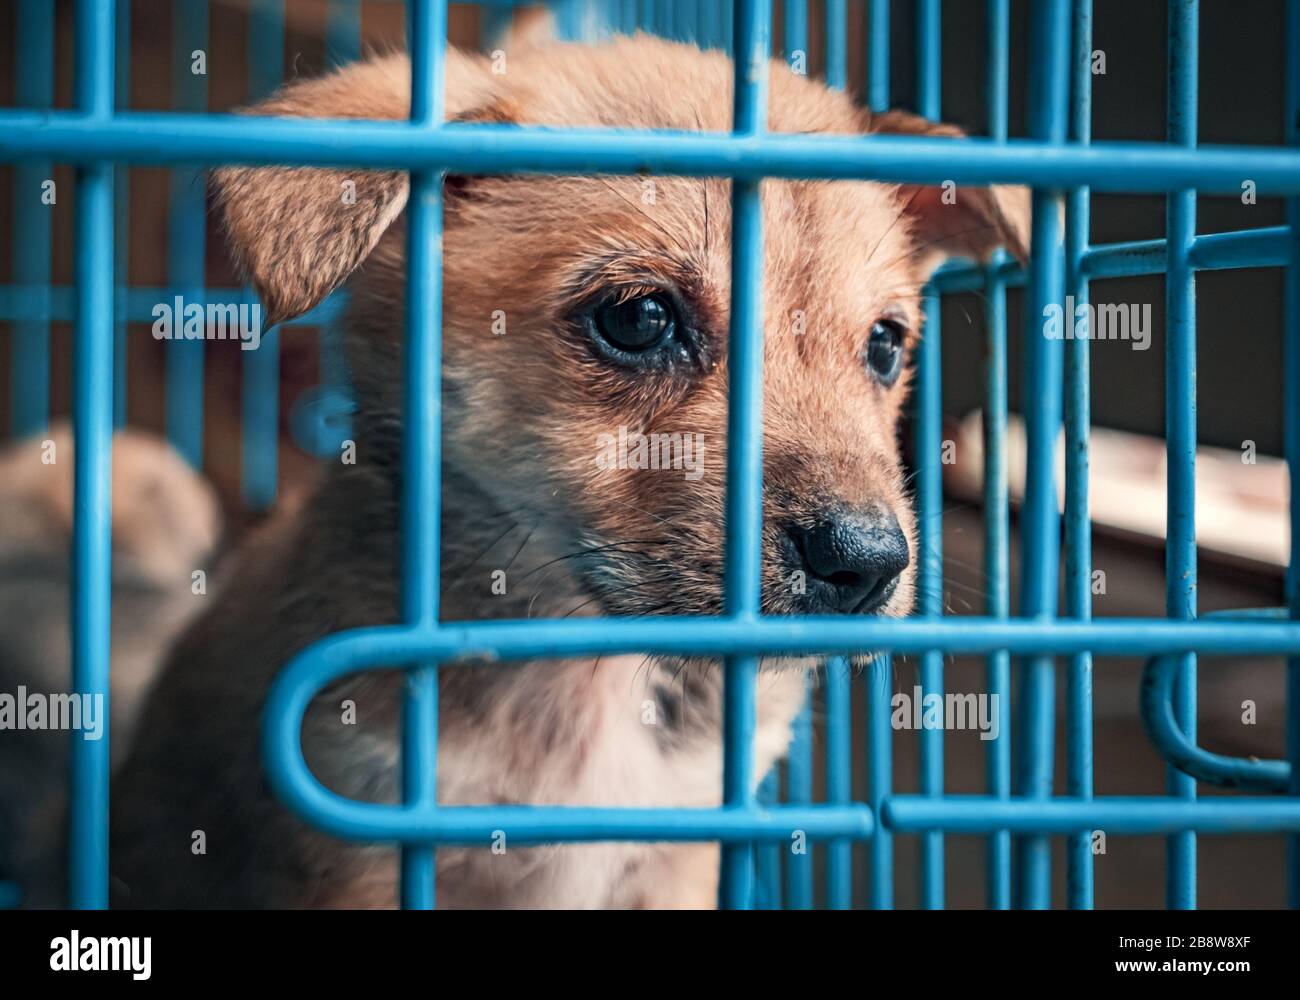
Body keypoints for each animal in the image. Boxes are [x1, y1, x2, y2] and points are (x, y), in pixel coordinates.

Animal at [111, 33, 1024, 905]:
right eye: (639, 317)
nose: (867, 563)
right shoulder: (359, 850)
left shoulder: (680, 852)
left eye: (885, 344)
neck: (587, 668)